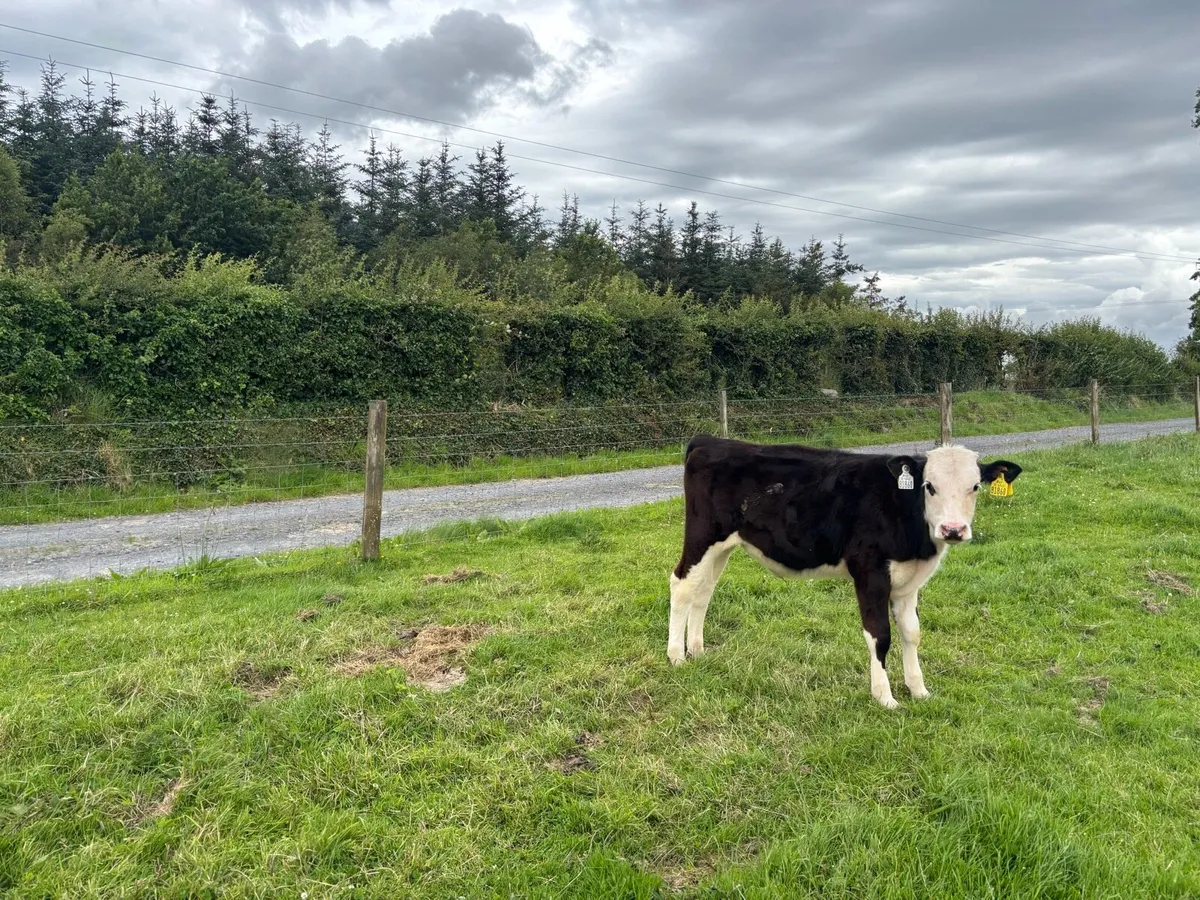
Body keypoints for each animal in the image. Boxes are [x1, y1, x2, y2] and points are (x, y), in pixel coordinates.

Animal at [668, 435, 1021, 708]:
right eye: (929, 486)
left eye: (975, 487)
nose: (953, 529)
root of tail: (709, 441)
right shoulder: (869, 572)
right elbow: (880, 635)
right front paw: (885, 697)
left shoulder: (909, 582)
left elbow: (912, 633)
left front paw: (919, 690)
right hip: (702, 535)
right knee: (682, 585)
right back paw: (676, 657)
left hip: (722, 546)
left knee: (704, 589)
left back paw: (697, 651)